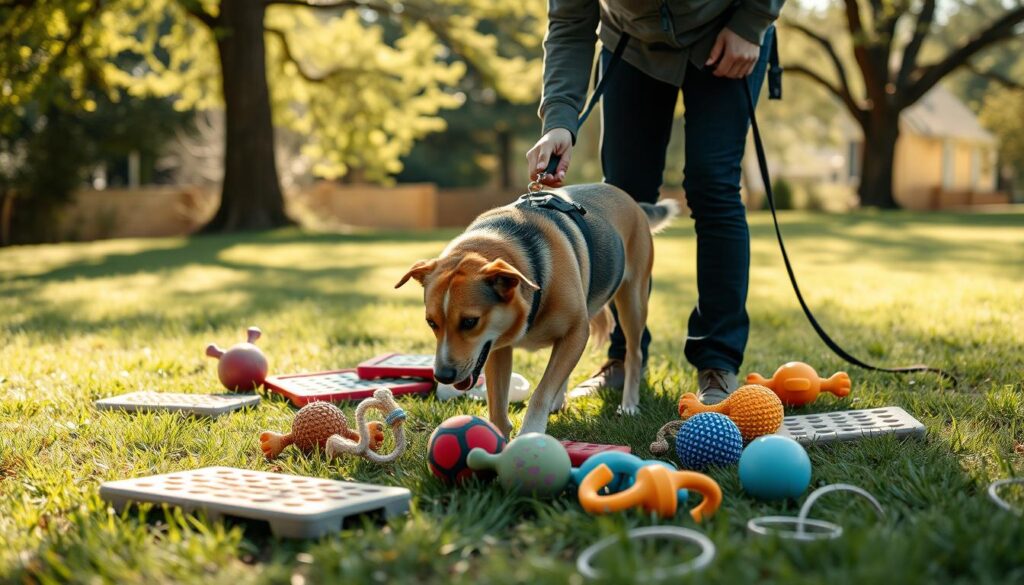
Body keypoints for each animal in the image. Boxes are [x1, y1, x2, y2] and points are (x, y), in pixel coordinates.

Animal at [395, 185, 675, 436]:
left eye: (470, 322)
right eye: (431, 323)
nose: (442, 376)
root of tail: (629, 199)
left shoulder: (577, 331)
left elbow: (541, 392)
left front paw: (531, 432)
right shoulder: (495, 347)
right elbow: (498, 406)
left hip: (632, 299)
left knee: (634, 353)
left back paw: (628, 404)